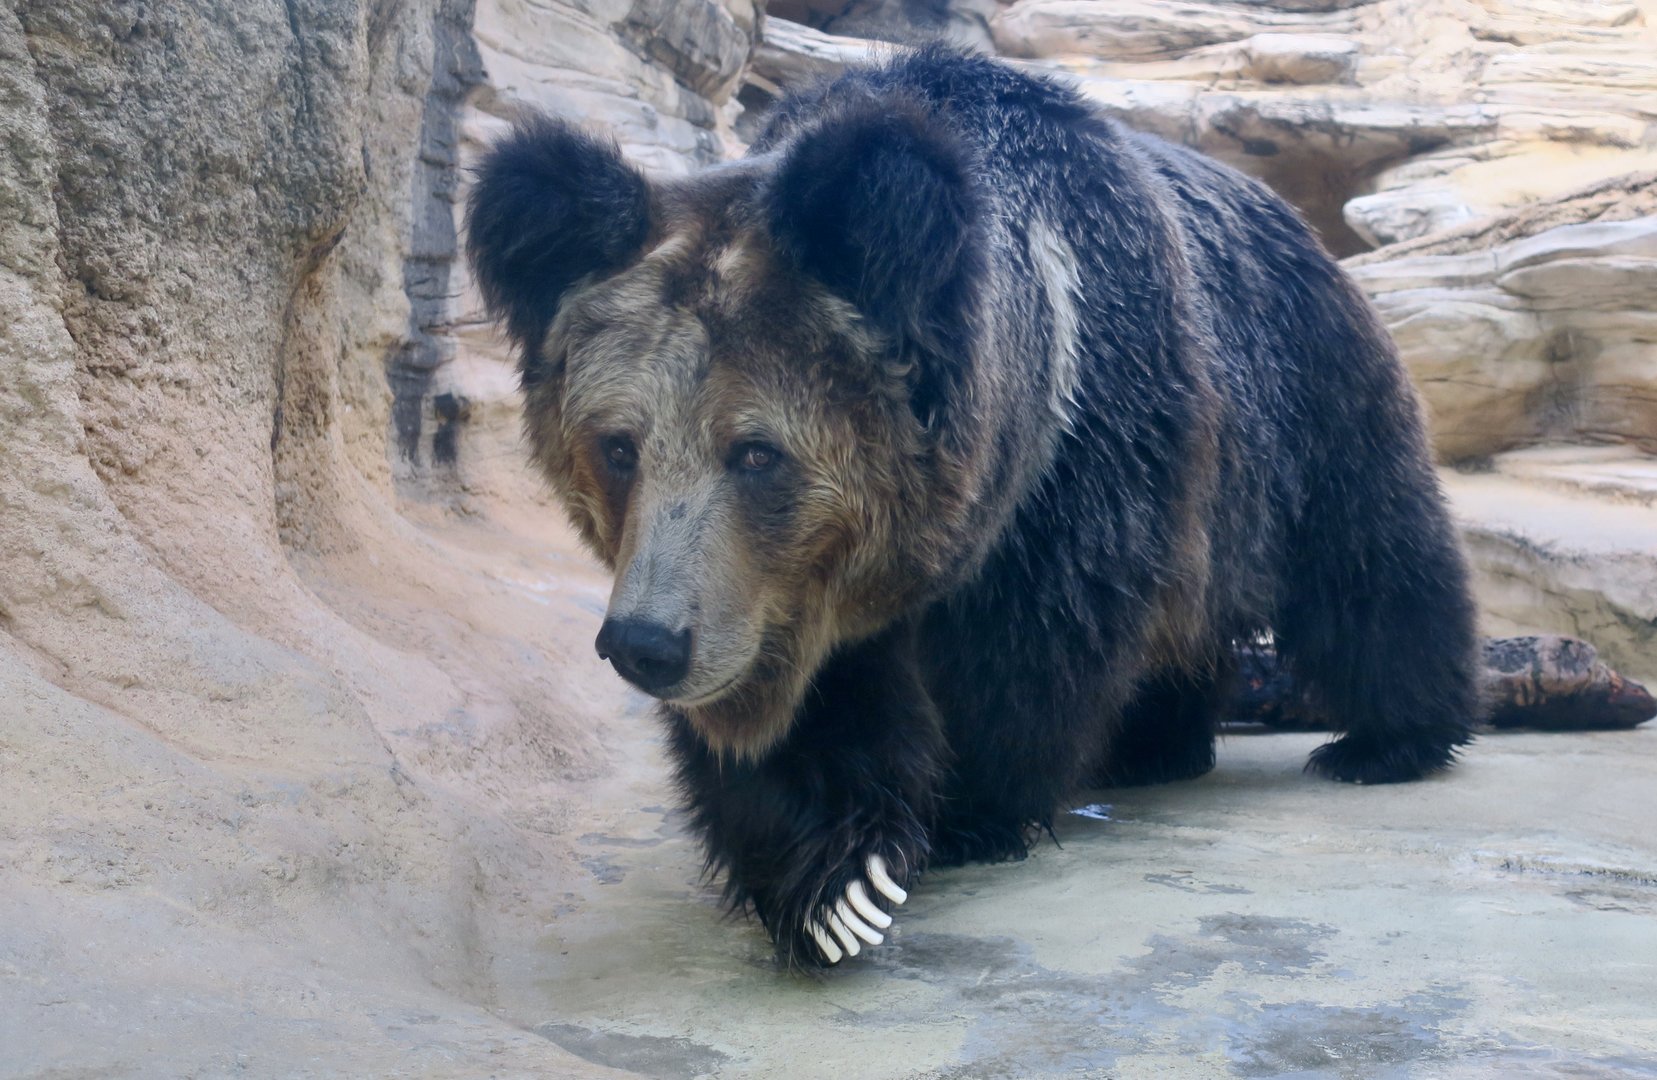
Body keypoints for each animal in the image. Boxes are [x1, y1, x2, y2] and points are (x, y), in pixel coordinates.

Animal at [465, 46, 1480, 969]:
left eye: (755, 452)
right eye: (618, 447)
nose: (646, 643)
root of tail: (1292, 217)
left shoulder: (1076, 463)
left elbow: (1028, 651)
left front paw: (961, 817)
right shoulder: (782, 593)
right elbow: (810, 707)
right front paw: (832, 881)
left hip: (1303, 405)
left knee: (1372, 561)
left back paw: (1385, 740)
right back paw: (1156, 745)